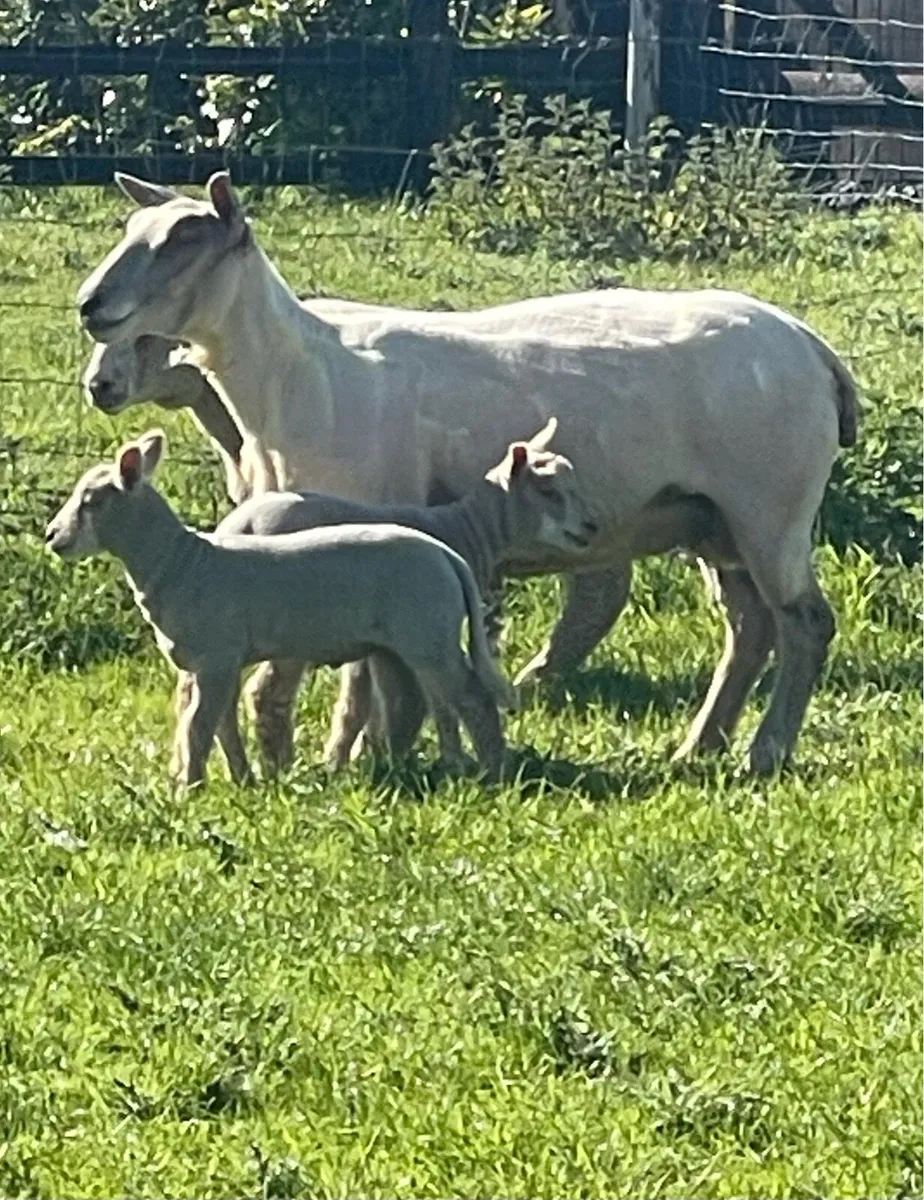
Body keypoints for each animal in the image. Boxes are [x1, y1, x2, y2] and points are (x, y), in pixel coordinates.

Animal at [44, 431, 520, 788]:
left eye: (92, 501)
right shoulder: (212, 663)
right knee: (415, 701)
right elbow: (220, 725)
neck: (181, 563)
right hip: (400, 644)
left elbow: (199, 728)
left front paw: (188, 789)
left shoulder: (216, 657)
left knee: (472, 697)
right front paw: (241, 779)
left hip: (429, 636)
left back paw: (492, 772)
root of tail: (447, 556)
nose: (52, 536)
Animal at [169, 417, 602, 776]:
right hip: (288, 630)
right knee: (266, 694)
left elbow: (382, 701)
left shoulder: (383, 642)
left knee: (197, 693)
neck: (467, 531)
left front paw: (364, 758)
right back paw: (279, 767)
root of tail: (238, 526)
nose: (591, 526)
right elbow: (411, 701)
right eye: (548, 492)